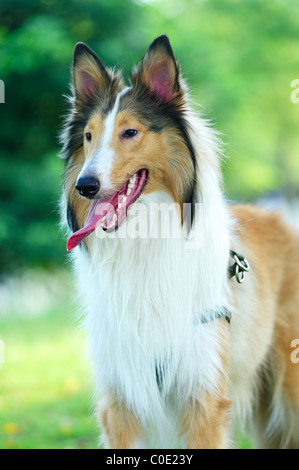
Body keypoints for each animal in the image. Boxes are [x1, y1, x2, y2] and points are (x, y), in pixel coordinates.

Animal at [61, 34, 299, 448]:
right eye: (89, 136)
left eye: (130, 132)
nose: (85, 186)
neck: (143, 239)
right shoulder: (121, 399)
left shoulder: (202, 395)